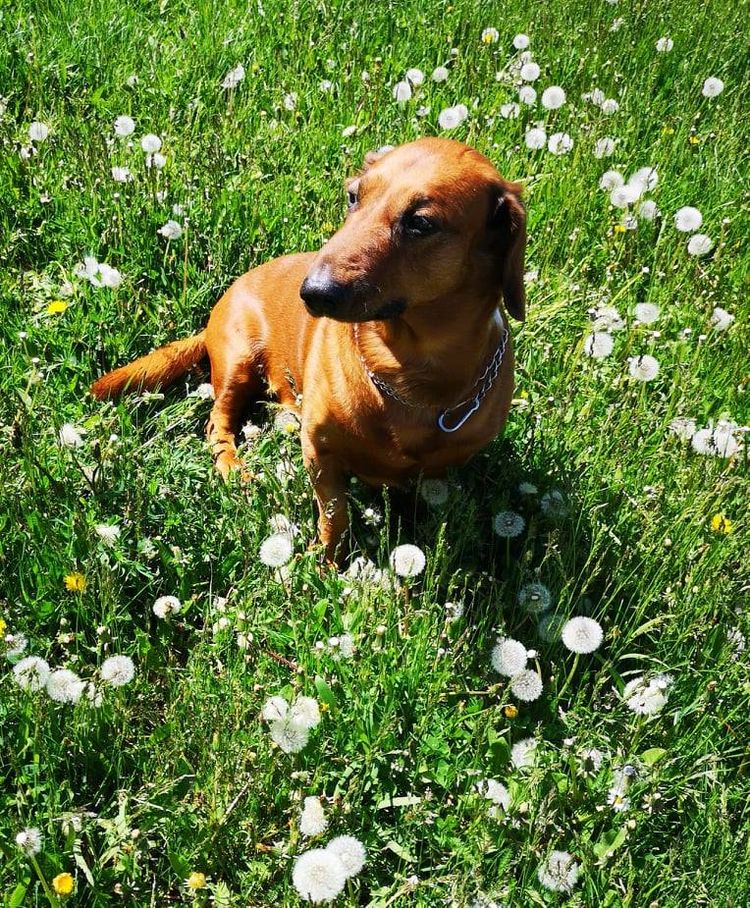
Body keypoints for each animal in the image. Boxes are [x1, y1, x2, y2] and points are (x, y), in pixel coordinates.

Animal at [91, 137, 528, 560]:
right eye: (353, 196)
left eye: (421, 223)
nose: (313, 292)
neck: (406, 370)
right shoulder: (320, 453)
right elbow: (335, 515)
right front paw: (327, 563)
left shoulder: (442, 469)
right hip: (238, 362)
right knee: (218, 422)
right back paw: (235, 469)